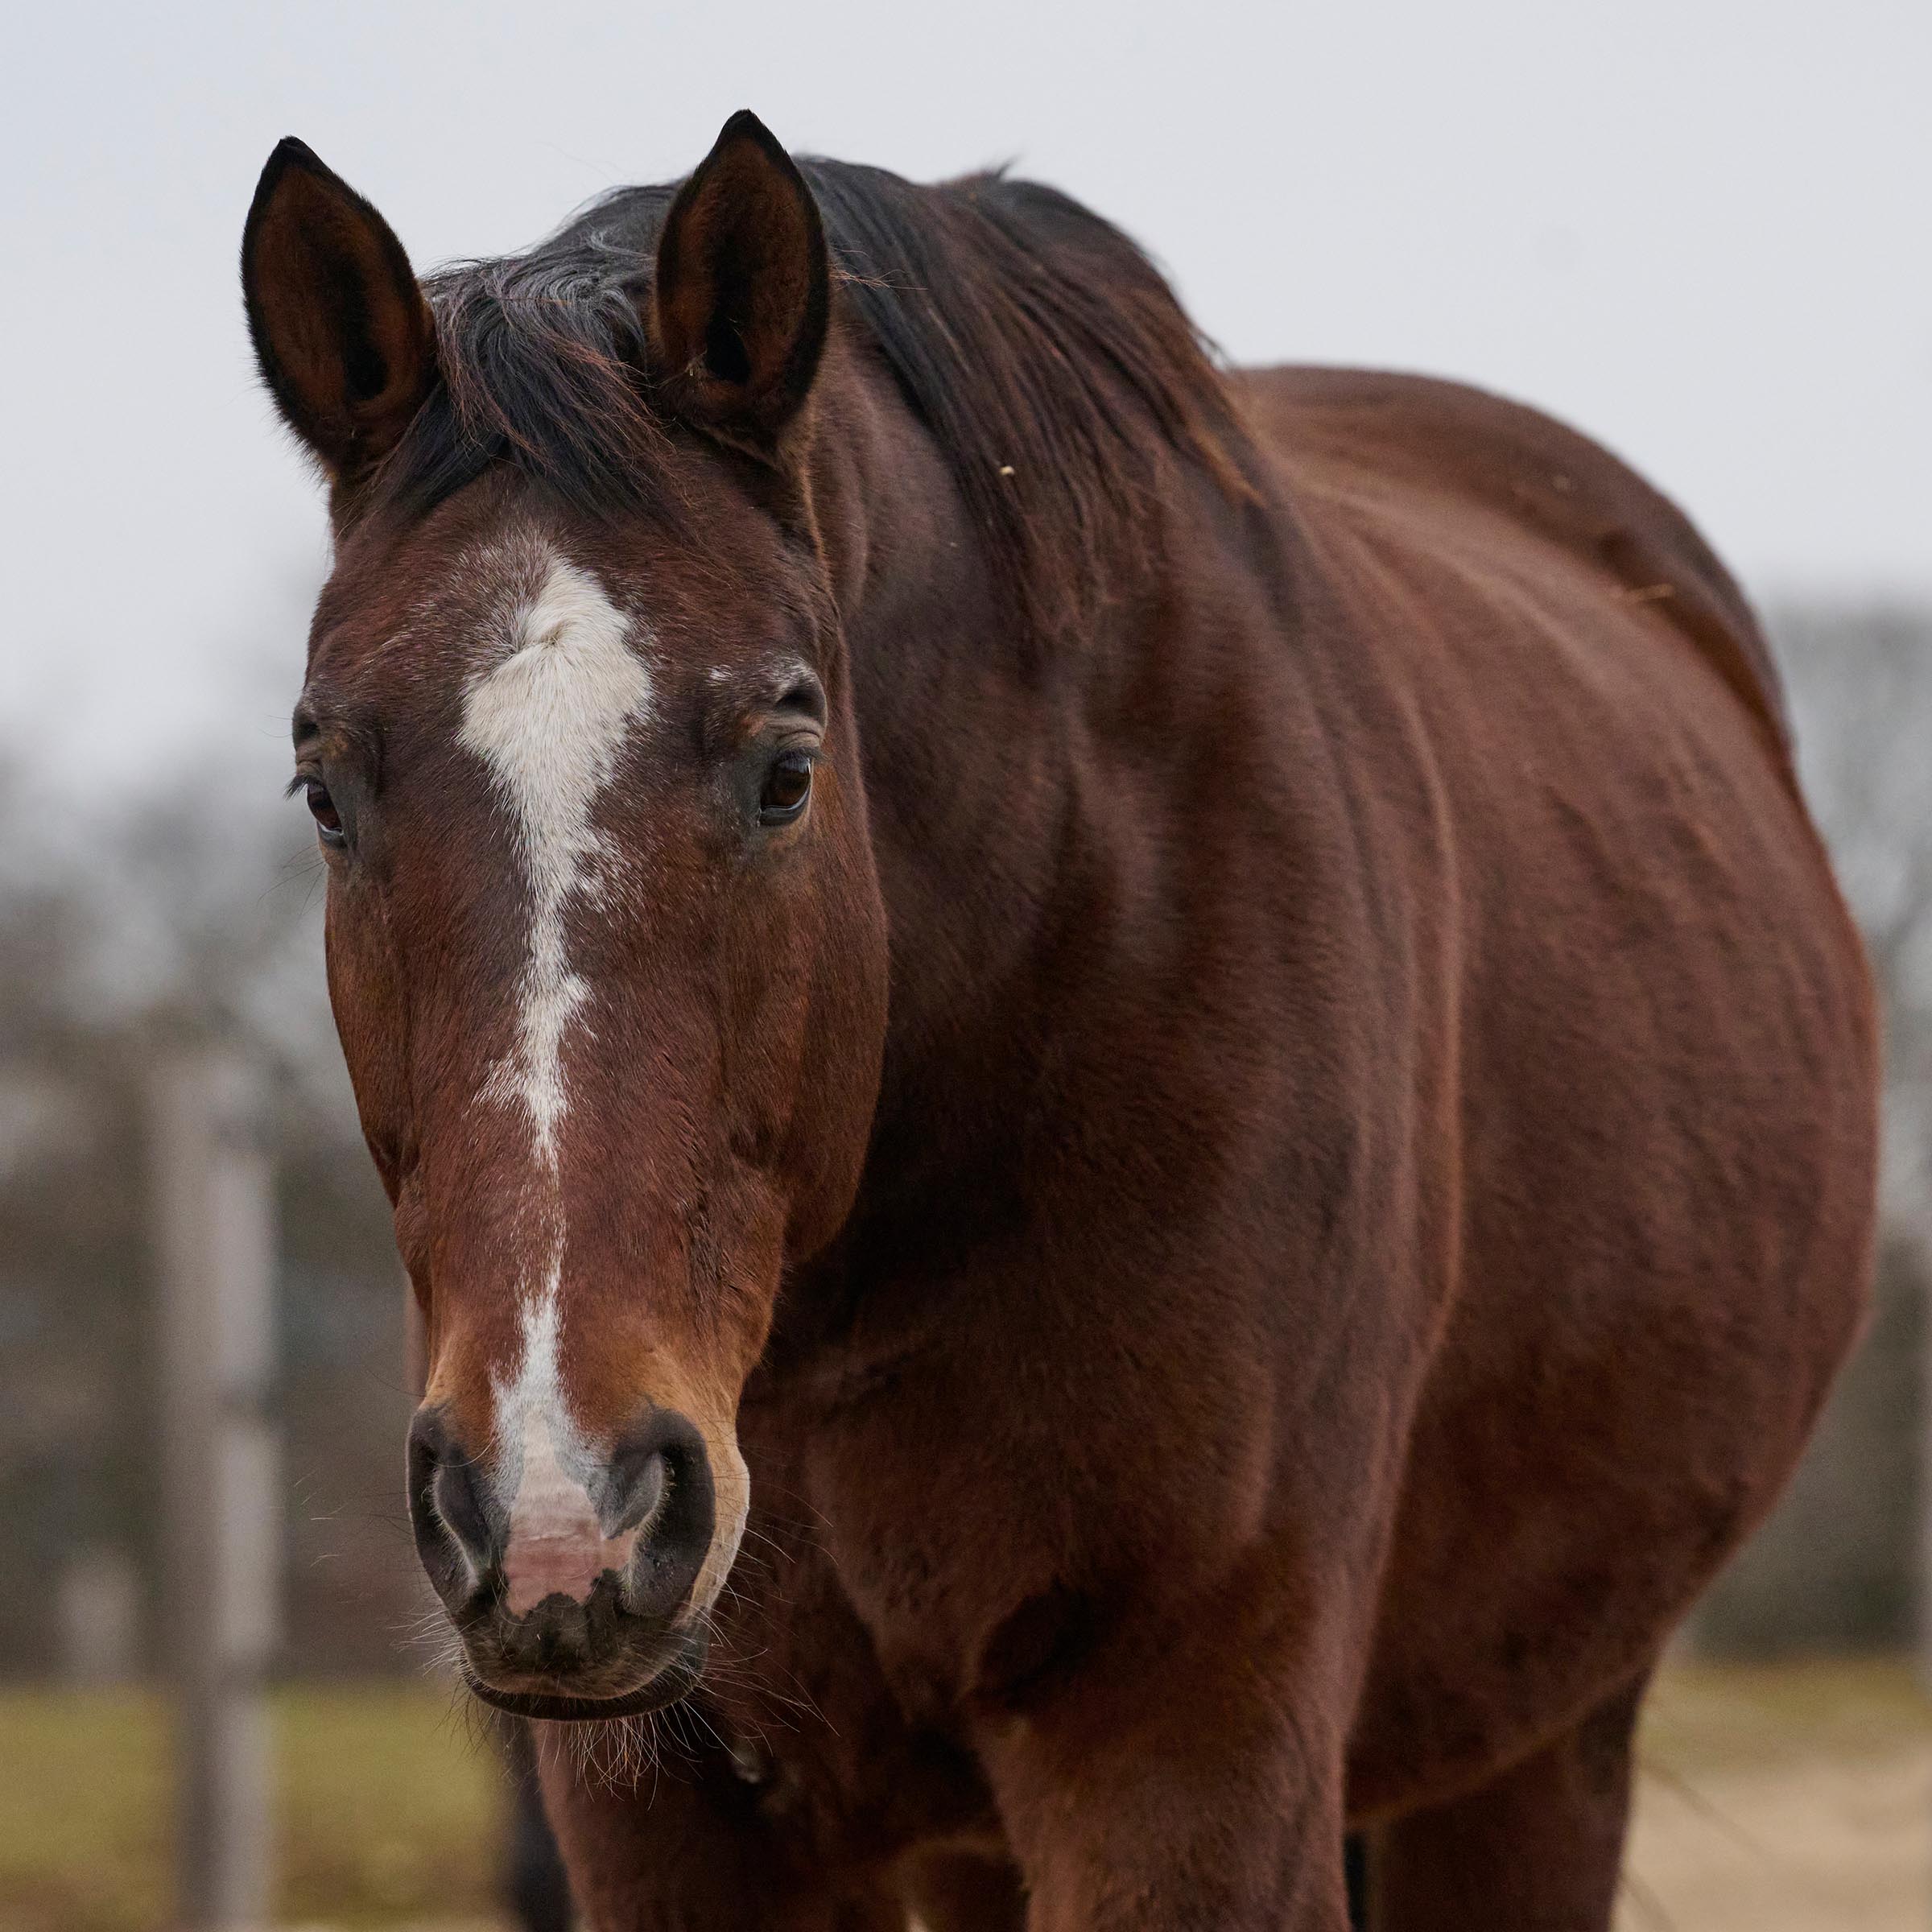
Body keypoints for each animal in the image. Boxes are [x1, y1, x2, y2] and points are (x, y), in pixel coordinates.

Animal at [241, 112, 1877, 1929]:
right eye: (325, 789)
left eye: (787, 768)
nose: (556, 1509)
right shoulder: (671, 1818)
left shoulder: (1190, 1758)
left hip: (1541, 1741)